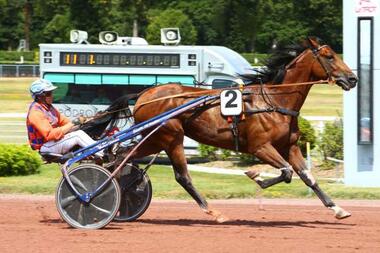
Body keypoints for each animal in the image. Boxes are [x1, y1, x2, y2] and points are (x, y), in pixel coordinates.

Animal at [96, 37, 358, 221]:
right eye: (329, 56)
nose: (352, 79)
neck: (274, 101)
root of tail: (144, 94)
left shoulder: (290, 146)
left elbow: (307, 177)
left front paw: (338, 209)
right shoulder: (260, 147)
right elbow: (286, 172)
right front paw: (256, 176)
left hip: (157, 139)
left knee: (120, 156)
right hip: (170, 137)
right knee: (181, 176)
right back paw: (213, 211)